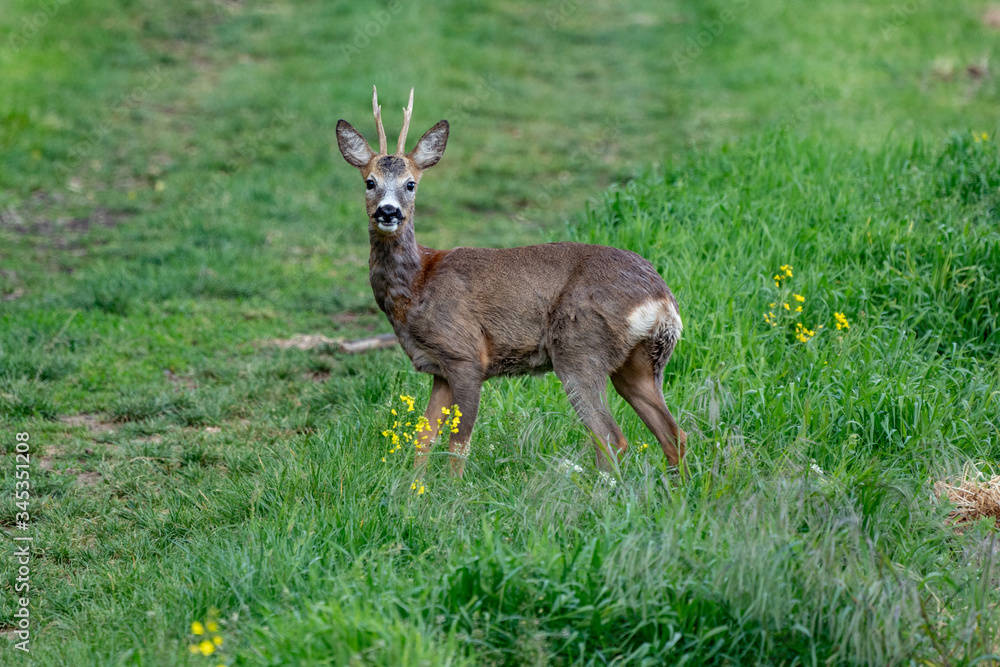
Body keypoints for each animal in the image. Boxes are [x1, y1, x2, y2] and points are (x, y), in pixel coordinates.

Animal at [336, 87, 687, 478]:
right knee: (673, 435)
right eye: (370, 182)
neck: (417, 287)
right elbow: (423, 437)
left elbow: (459, 444)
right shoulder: (439, 368)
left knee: (612, 437)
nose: (388, 211)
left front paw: (452, 492)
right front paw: (414, 488)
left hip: (580, 348)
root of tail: (662, 300)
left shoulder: (466, 354)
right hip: (640, 363)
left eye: (410, 184)